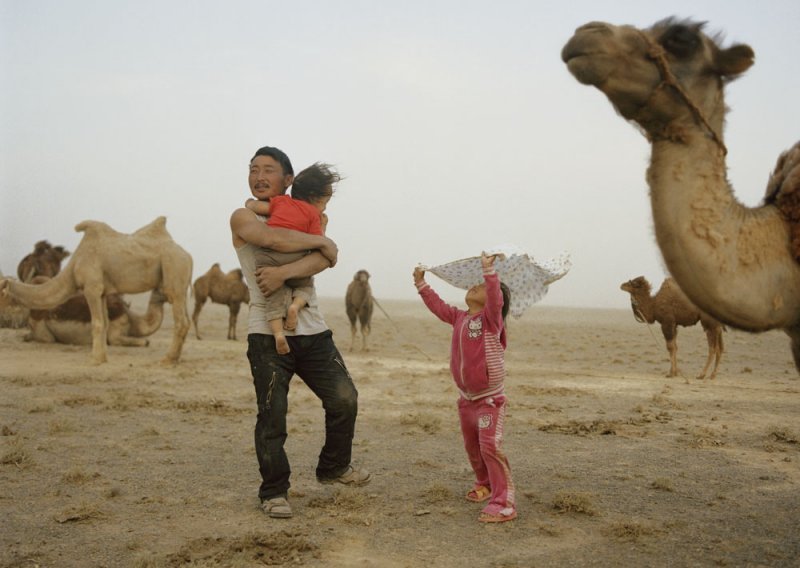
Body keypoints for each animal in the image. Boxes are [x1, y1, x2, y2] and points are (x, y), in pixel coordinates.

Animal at [0, 217, 192, 364]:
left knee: (181, 319)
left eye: (1, 292)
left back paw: (167, 360)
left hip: (174, 268)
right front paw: (102, 358)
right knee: (186, 319)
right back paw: (175, 358)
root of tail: (188, 256)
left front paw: (94, 360)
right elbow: (104, 323)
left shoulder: (91, 287)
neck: (73, 267)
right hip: (181, 282)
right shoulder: (102, 292)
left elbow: (97, 323)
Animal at [560, 17, 800, 370]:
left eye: (682, 39)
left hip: (710, 321)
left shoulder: (670, 320)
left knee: (716, 344)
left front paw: (674, 374)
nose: (585, 33)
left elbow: (672, 346)